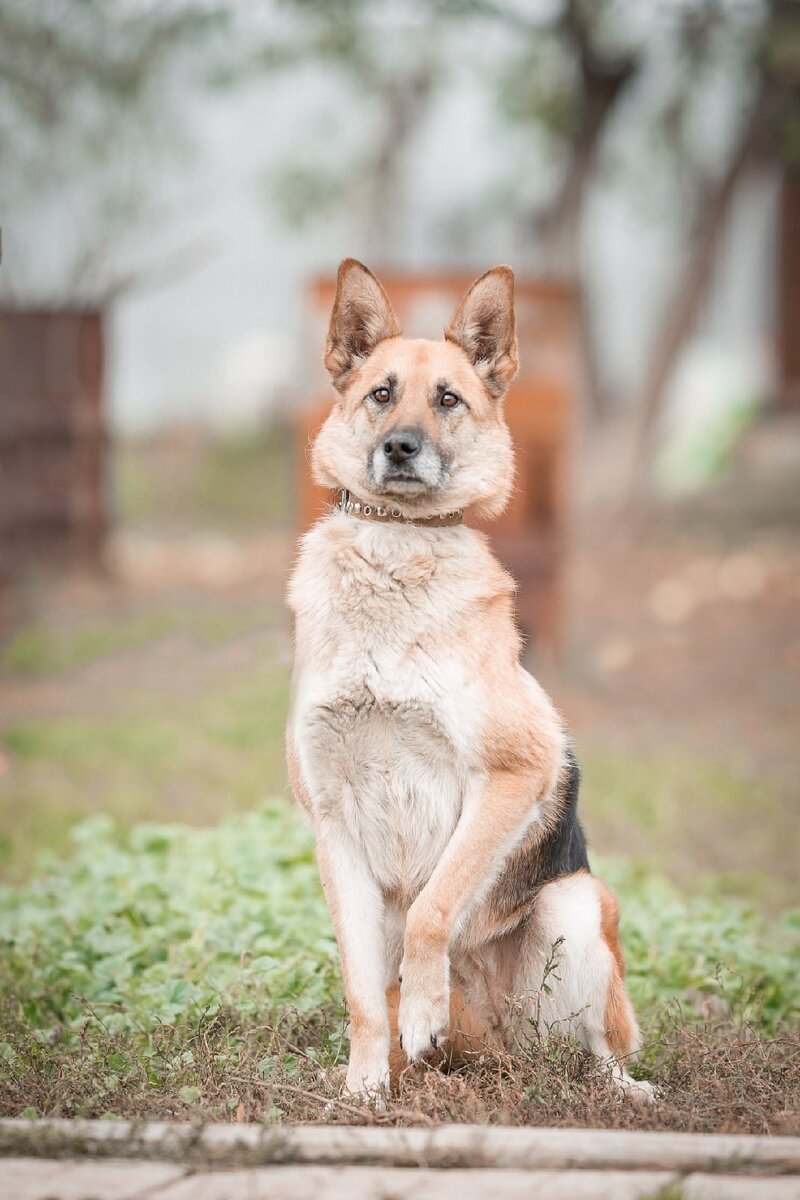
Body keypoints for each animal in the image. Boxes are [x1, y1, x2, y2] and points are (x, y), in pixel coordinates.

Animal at [284, 258, 652, 1099]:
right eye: (381, 394)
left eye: (448, 399)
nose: (400, 448)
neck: (393, 554)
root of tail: (506, 1048)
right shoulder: (334, 826)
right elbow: (362, 988)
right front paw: (364, 1086)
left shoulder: (512, 773)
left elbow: (433, 906)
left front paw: (421, 1011)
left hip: (577, 903)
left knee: (604, 1047)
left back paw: (623, 1089)